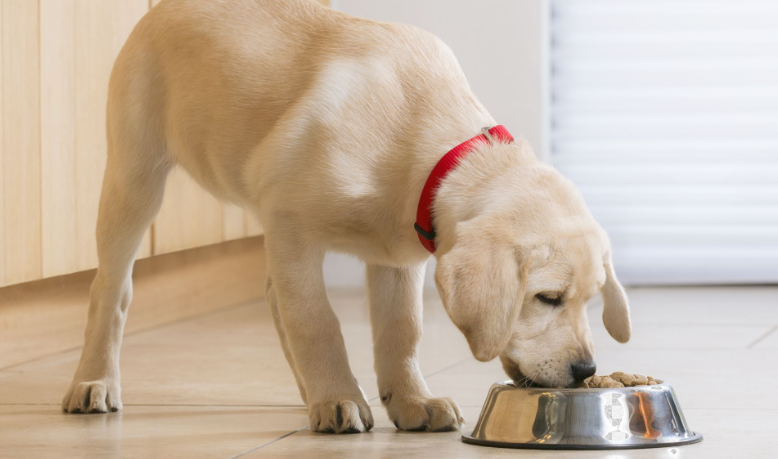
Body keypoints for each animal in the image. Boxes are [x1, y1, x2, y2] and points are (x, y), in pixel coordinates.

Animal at [62, 0, 632, 434]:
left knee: (274, 297)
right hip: (134, 179)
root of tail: (161, 6)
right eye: (547, 298)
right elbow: (317, 321)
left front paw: (410, 401)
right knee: (111, 290)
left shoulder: (398, 257)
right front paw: (339, 396)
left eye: (589, 299)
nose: (587, 369)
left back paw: (309, 390)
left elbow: (402, 331)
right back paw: (94, 383)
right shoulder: (290, 228)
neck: (426, 141)